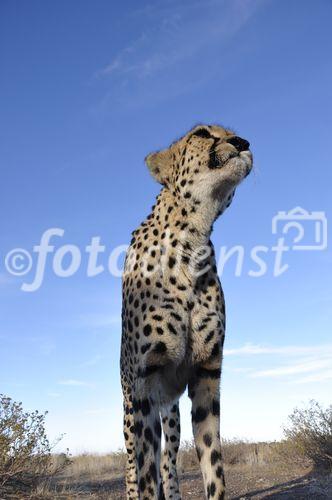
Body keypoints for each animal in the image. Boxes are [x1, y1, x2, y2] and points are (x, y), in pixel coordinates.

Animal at [120, 122, 253, 500]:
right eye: (202, 133)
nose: (243, 143)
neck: (191, 239)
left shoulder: (207, 373)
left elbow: (212, 462)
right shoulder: (145, 385)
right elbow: (146, 475)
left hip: (172, 414)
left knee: (169, 459)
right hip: (130, 409)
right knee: (133, 467)